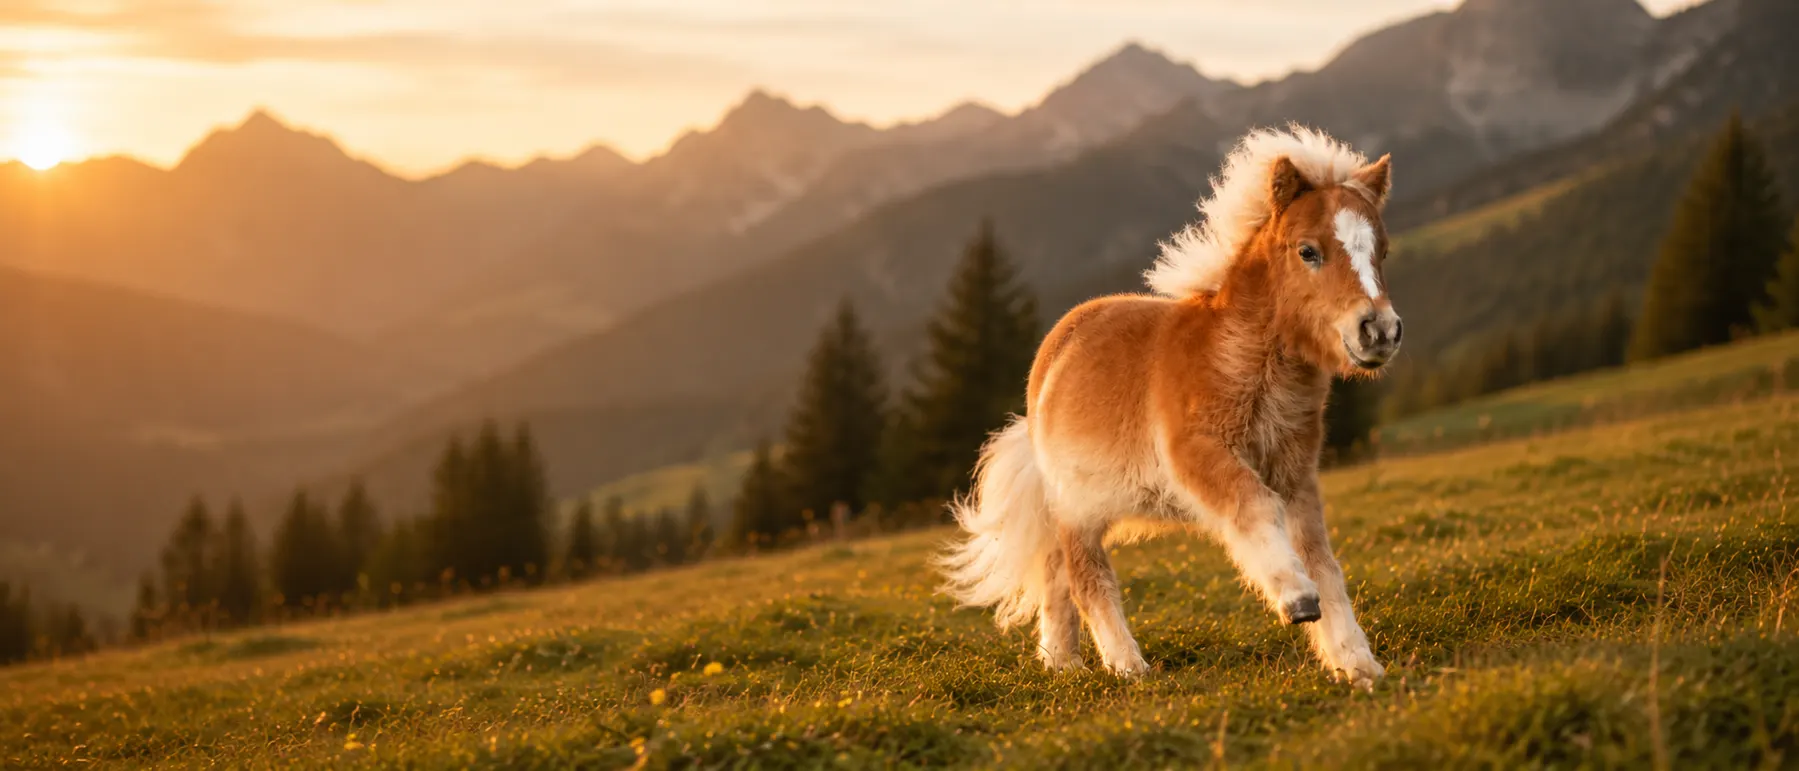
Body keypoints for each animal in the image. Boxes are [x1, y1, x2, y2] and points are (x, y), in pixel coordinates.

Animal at [937, 125, 1401, 690]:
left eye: (1381, 251)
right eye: (1308, 251)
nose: (1379, 330)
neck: (1237, 362)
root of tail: (1050, 359)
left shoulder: (1296, 474)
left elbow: (1322, 559)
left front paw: (1358, 663)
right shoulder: (1200, 456)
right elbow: (1254, 507)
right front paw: (1296, 599)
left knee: (1054, 573)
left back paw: (1062, 663)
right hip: (1075, 510)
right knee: (1086, 577)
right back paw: (1127, 667)